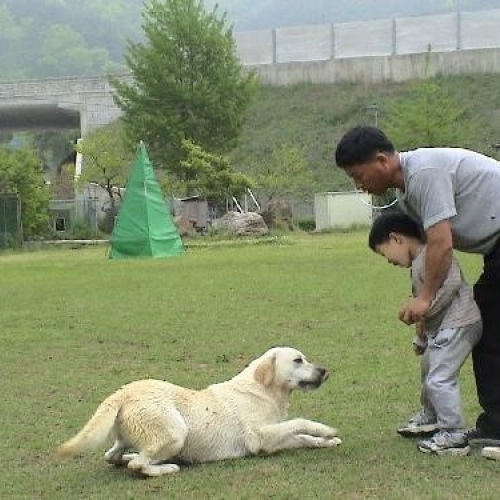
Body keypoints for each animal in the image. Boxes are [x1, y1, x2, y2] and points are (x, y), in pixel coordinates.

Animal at [56, 346, 342, 474]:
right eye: (298, 360)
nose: (324, 371)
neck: (264, 390)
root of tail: (124, 391)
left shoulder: (274, 439)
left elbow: (303, 437)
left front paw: (327, 441)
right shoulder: (260, 439)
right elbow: (300, 422)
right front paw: (327, 430)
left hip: (132, 439)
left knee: (115, 456)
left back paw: (134, 457)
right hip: (176, 432)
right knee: (139, 465)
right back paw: (165, 468)